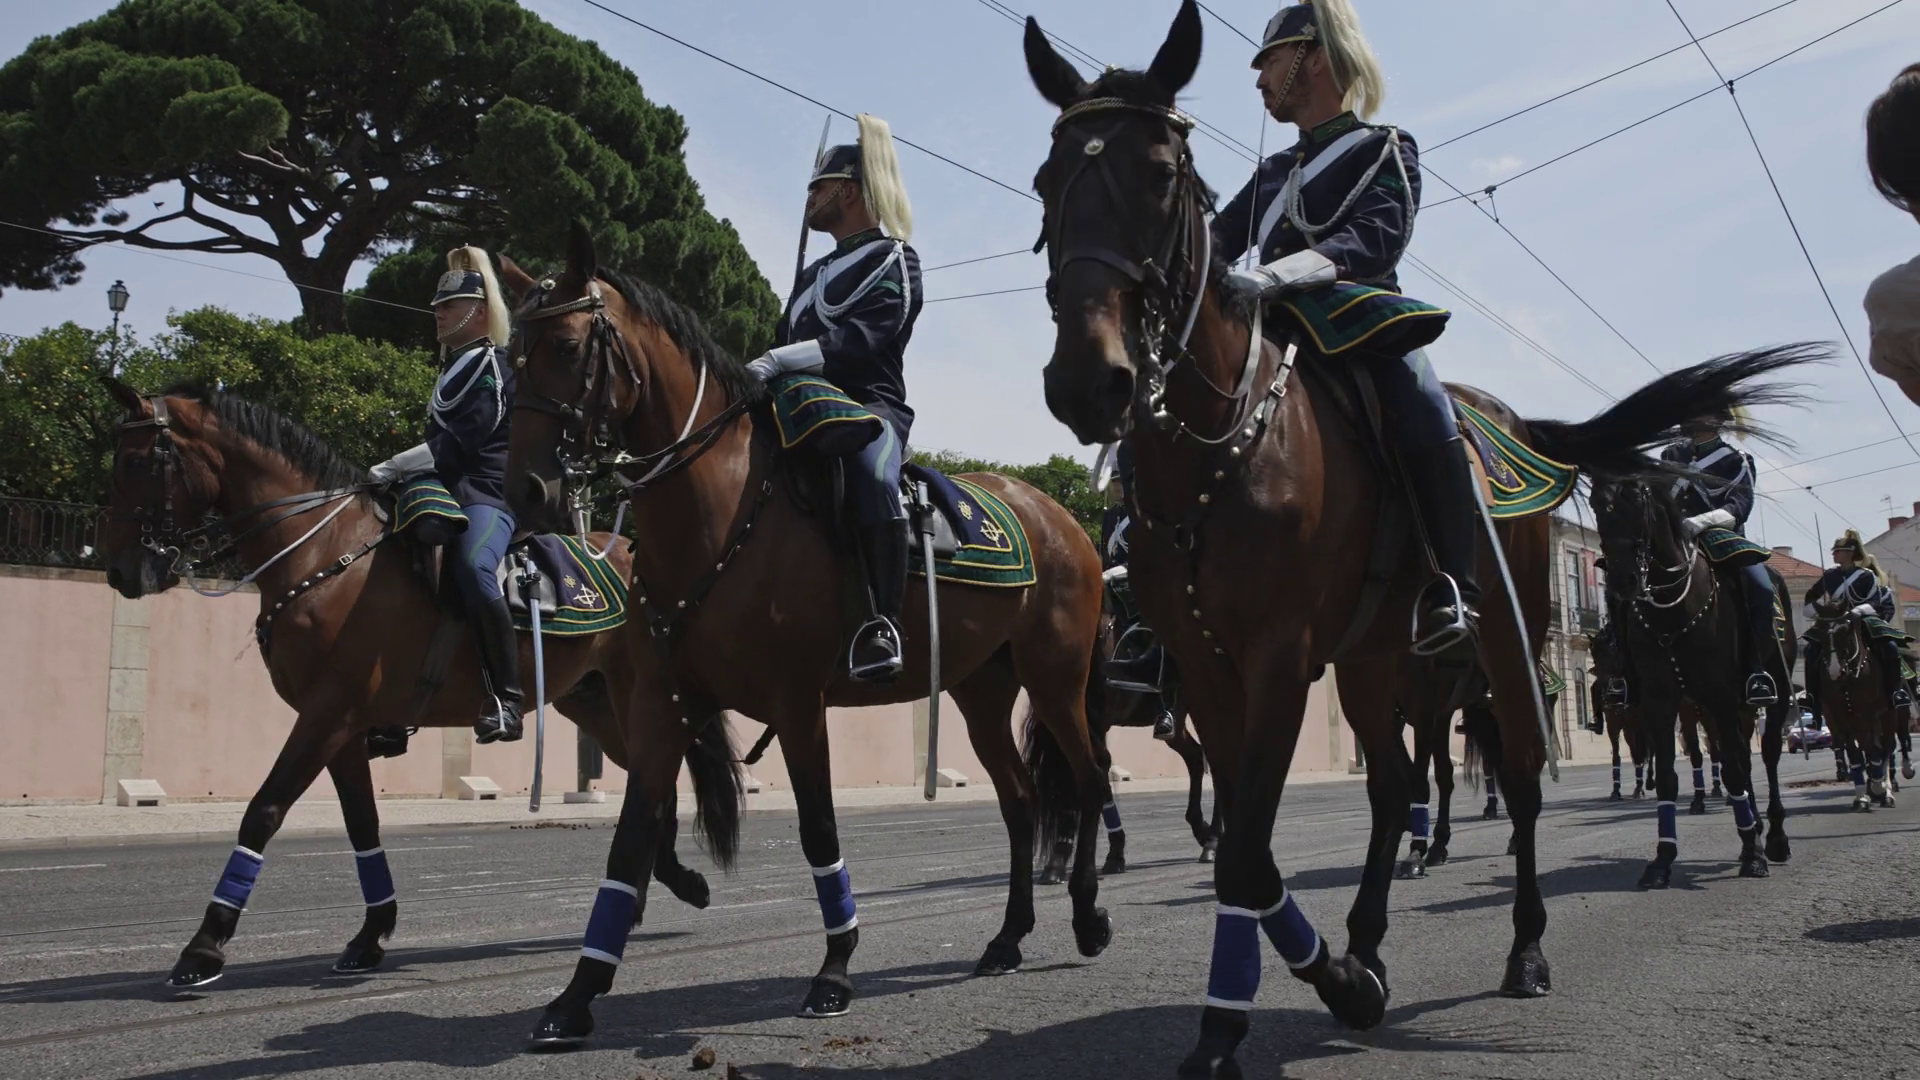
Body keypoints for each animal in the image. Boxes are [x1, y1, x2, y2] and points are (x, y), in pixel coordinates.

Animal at [93, 381, 719, 990]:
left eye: (138, 461)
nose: (120, 570)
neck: (321, 553)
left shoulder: (327, 714)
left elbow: (264, 810)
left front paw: (204, 946)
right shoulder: (342, 727)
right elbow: (361, 822)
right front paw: (371, 935)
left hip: (631, 698)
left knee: (657, 776)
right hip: (592, 703)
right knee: (651, 779)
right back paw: (658, 889)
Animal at [499, 235, 1112, 1048]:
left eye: (567, 347)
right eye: (512, 357)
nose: (527, 491)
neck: (719, 508)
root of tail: (1060, 516)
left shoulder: (797, 704)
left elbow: (819, 831)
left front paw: (834, 970)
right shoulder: (664, 705)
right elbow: (630, 842)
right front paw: (576, 996)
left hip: (1055, 680)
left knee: (1087, 778)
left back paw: (1089, 919)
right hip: (982, 692)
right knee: (1020, 801)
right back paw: (1008, 938)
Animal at [1590, 471, 1808, 888]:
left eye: (1637, 497)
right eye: (1595, 503)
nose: (1622, 581)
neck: (1671, 611)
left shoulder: (1719, 696)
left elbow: (1736, 771)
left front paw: (1753, 855)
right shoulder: (1661, 702)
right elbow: (1670, 774)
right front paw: (1662, 859)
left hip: (1772, 691)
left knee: (1768, 754)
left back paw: (1774, 837)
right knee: (1740, 756)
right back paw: (1753, 828)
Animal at [1806, 593, 1904, 810]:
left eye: (1845, 630)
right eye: (1820, 631)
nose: (1835, 671)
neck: (1848, 678)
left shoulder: (1866, 714)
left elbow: (1872, 751)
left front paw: (1877, 787)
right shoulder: (1838, 716)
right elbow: (1855, 753)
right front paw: (1861, 797)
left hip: (1889, 713)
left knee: (1886, 747)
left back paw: (1886, 792)